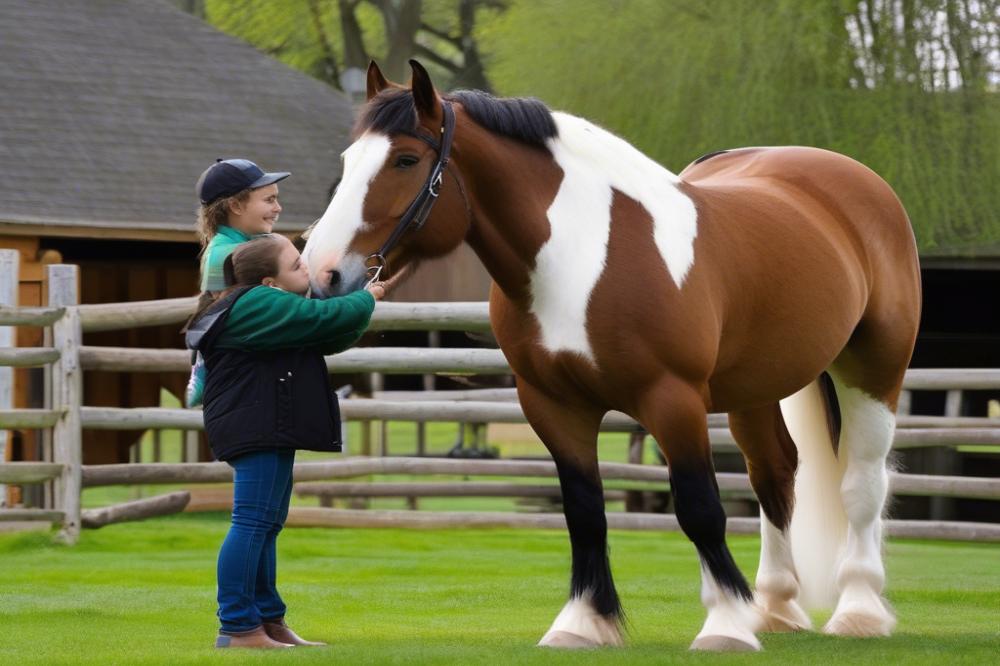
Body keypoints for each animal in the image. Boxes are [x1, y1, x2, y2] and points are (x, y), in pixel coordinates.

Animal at [302, 59, 920, 652]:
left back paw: (859, 611)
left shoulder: (672, 400)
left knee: (862, 482)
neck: (586, 259)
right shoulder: (554, 405)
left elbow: (700, 508)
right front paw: (583, 623)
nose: (321, 271)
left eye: (405, 160)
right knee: (774, 475)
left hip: (873, 368)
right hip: (755, 389)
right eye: (349, 160)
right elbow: (584, 511)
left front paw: (724, 624)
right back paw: (776, 608)